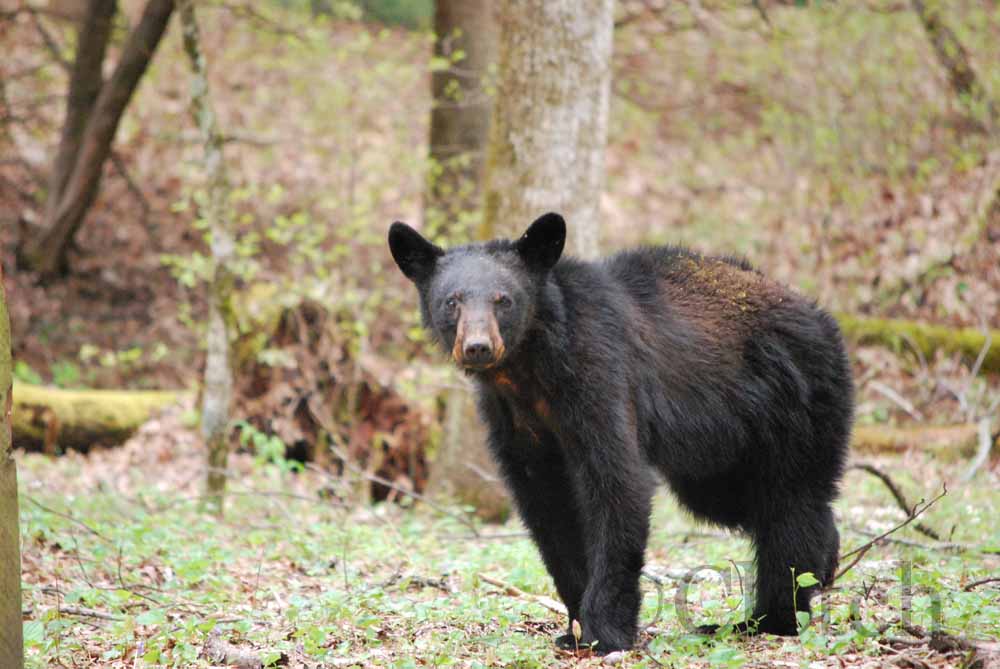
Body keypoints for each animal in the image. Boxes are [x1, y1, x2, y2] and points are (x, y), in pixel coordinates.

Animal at [386, 214, 856, 652]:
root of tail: (822, 317)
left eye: (504, 300)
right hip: (719, 455)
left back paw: (771, 617)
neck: (532, 367)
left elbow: (617, 483)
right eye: (452, 301)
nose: (478, 347)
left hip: (795, 405)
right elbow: (545, 505)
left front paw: (605, 631)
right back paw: (824, 561)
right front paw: (574, 627)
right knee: (749, 502)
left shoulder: (601, 375)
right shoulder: (514, 418)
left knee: (789, 502)